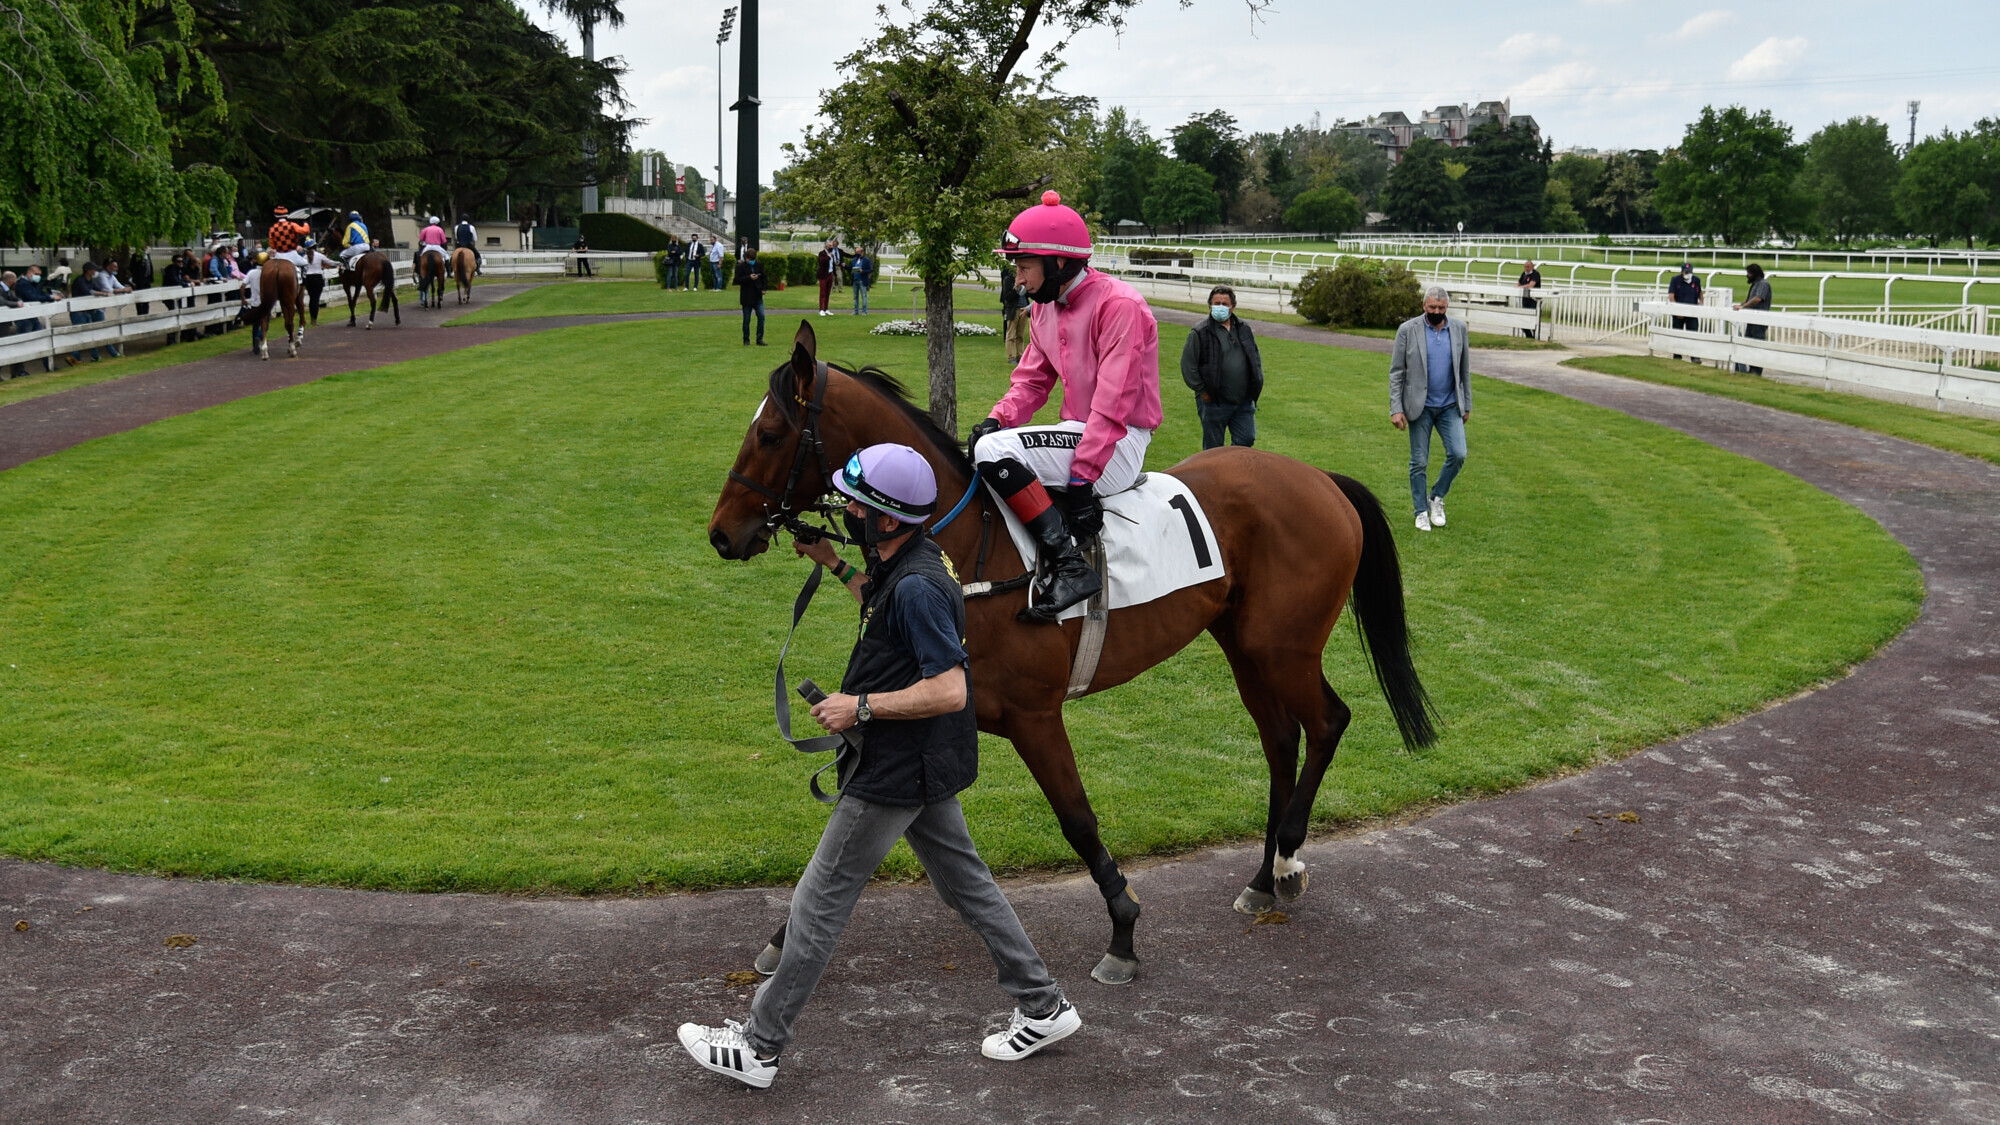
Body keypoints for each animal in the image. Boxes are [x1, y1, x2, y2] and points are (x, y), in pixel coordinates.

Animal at [712, 322, 1432, 980]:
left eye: (770, 434)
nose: (722, 533)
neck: (972, 548)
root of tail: (1321, 479)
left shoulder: (1034, 715)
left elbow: (1078, 820)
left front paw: (1123, 931)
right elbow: (854, 825)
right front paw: (785, 934)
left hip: (1284, 647)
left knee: (1328, 721)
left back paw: (1285, 859)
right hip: (1246, 647)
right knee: (1282, 741)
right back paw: (1260, 877)